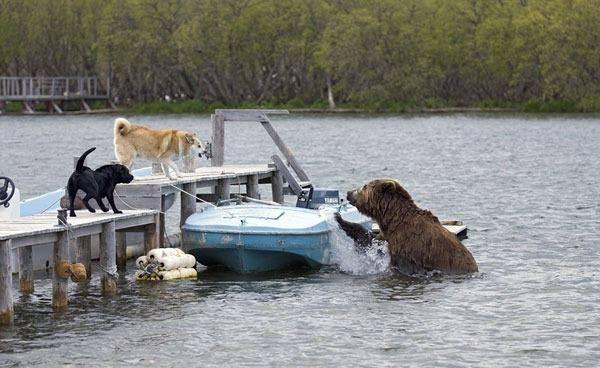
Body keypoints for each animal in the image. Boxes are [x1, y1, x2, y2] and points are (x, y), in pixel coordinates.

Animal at [342, 178, 478, 276]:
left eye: (365, 186)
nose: (349, 193)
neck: (392, 219)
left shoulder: (405, 244)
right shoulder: (387, 235)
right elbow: (371, 240)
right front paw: (342, 220)